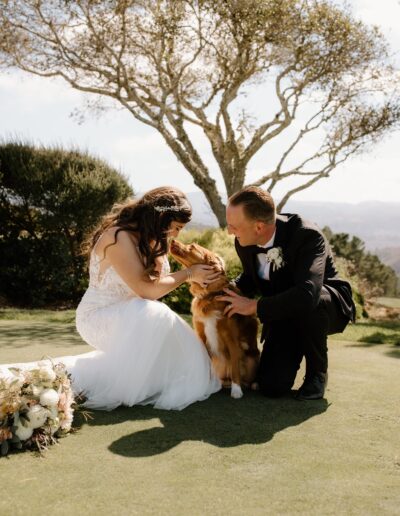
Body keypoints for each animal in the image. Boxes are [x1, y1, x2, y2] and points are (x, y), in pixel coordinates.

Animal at [169, 240, 260, 398]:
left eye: (192, 246)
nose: (172, 240)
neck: (209, 296)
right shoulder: (201, 334)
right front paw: (206, 386)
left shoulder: (232, 338)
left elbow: (235, 366)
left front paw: (236, 390)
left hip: (251, 359)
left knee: (246, 378)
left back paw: (250, 384)